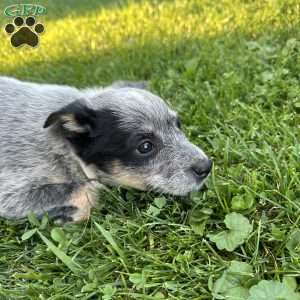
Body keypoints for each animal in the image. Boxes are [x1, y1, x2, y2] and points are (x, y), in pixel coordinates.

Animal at [0, 77, 212, 223]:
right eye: (145, 146)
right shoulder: (10, 192)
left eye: (178, 125)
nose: (207, 167)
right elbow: (88, 189)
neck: (64, 148)